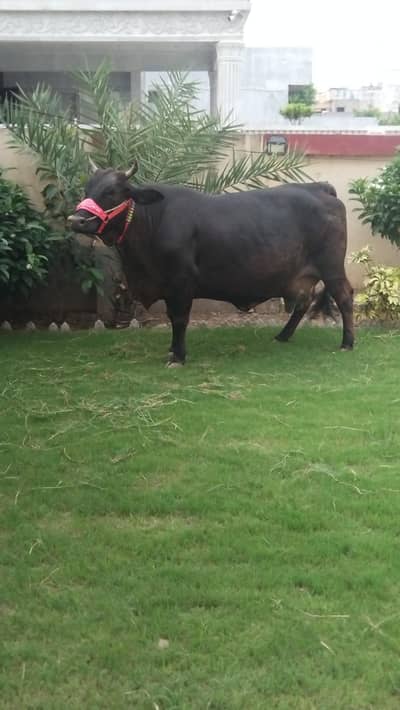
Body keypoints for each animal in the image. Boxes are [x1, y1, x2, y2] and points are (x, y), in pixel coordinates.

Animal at [68, 166, 354, 366]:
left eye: (112, 191)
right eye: (87, 190)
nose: (75, 220)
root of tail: (319, 188)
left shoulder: (181, 281)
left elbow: (179, 318)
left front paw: (178, 356)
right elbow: (172, 317)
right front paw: (172, 350)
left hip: (332, 268)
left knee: (344, 297)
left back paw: (347, 343)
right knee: (303, 302)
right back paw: (283, 336)